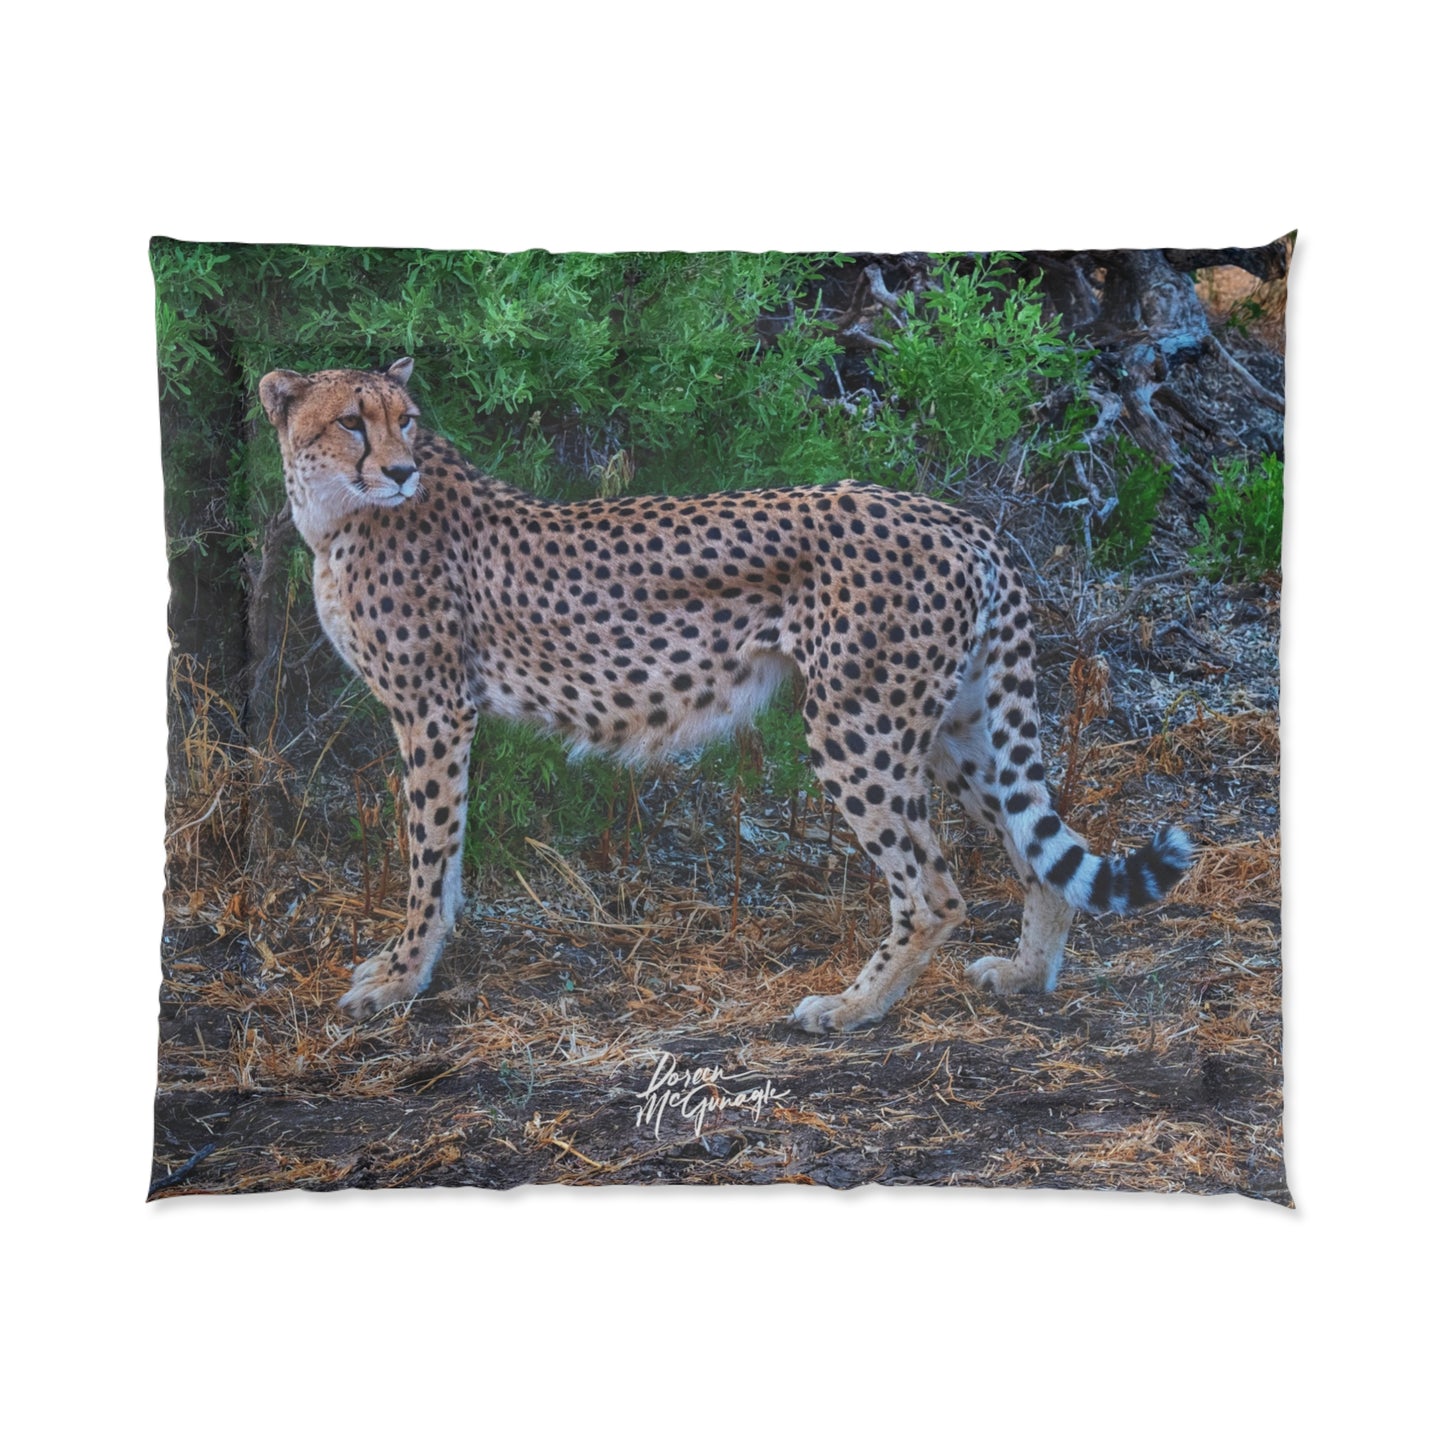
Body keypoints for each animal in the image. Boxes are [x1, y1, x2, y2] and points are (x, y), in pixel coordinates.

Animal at [260, 358, 1192, 1030]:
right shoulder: (440, 713)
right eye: (352, 419)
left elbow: (428, 851)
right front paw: (411, 964)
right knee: (1038, 849)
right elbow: (444, 856)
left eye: (405, 419)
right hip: (954, 723)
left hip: (855, 724)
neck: (338, 512)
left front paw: (401, 977)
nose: (400, 468)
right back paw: (1026, 974)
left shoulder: (432, 709)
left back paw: (851, 1007)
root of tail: (956, 517)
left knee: (934, 891)